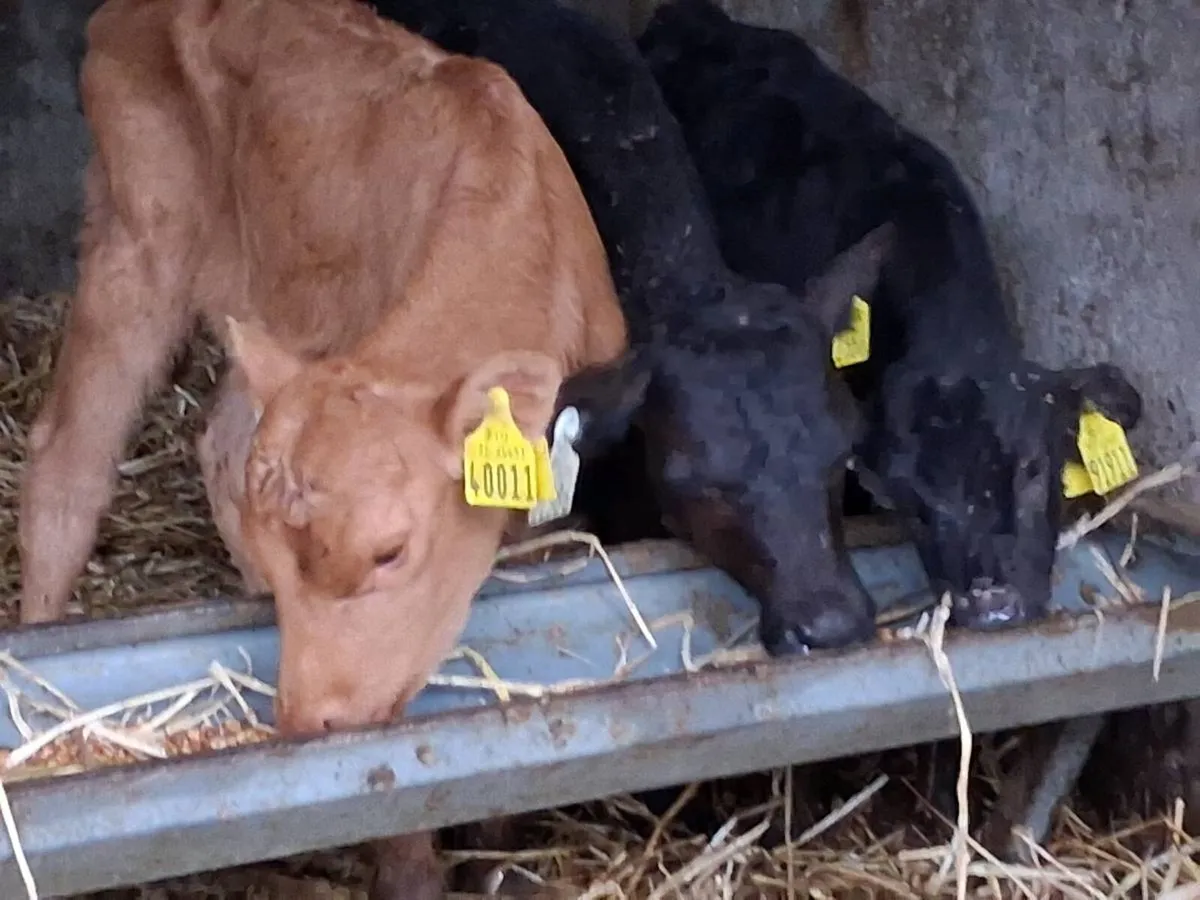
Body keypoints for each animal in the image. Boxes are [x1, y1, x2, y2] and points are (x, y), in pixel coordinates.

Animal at [18, 0, 628, 894]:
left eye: (389, 552)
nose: (310, 722)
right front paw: (413, 870)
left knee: (221, 443)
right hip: (141, 229)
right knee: (67, 454)